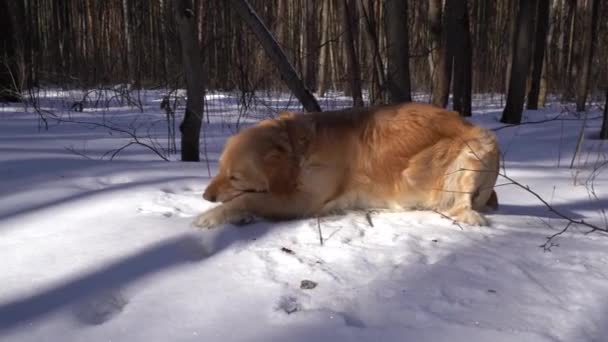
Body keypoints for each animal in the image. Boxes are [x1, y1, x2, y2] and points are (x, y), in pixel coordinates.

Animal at [195, 103, 498, 228]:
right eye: (219, 170)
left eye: (235, 177)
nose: (206, 196)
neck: (298, 147)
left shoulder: (303, 201)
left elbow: (246, 199)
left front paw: (210, 216)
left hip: (479, 149)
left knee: (460, 205)